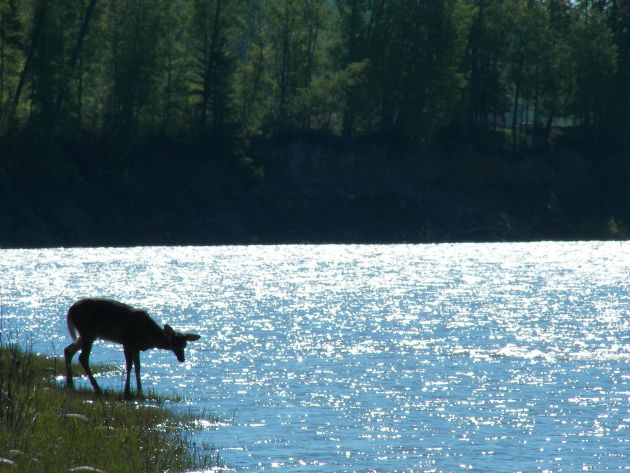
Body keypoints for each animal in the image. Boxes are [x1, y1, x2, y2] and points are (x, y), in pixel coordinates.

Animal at [63, 296, 201, 396]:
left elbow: (138, 368)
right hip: (88, 331)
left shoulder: (136, 347)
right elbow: (129, 366)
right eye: (174, 343)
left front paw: (140, 392)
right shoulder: (127, 341)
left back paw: (70, 385)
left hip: (87, 334)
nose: (182, 358)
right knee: (83, 357)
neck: (148, 335)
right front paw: (127, 391)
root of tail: (70, 310)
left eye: (185, 345)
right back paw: (97, 388)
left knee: (68, 350)